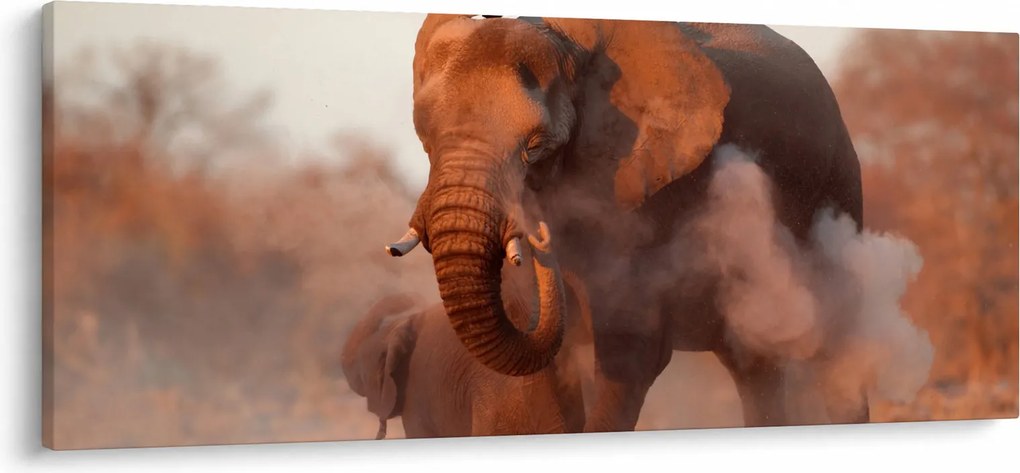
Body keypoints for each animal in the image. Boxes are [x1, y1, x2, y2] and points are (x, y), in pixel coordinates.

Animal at [385, 15, 865, 432]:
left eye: (536, 147)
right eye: (425, 138)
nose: (539, 234)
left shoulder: (653, 198)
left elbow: (631, 352)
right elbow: (544, 366)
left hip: (836, 189)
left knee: (836, 346)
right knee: (754, 364)